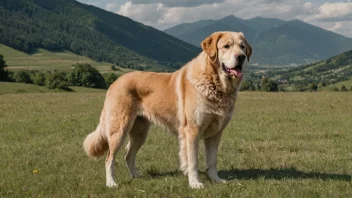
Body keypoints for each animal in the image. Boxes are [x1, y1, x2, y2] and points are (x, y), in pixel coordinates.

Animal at [84, 31, 252, 189]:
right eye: (226, 46)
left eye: (242, 46)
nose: (241, 57)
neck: (215, 84)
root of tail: (115, 82)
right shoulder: (192, 131)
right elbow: (193, 161)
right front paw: (195, 183)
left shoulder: (215, 133)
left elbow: (212, 160)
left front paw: (216, 179)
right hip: (119, 130)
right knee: (109, 159)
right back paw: (111, 183)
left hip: (140, 133)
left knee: (128, 155)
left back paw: (135, 176)